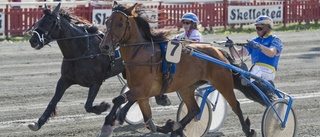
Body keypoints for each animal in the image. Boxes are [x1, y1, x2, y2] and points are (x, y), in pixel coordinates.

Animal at [99, 1, 256, 137]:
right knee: (194, 110)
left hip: (222, 82)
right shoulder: (143, 94)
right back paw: (176, 128)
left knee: (235, 105)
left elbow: (119, 99)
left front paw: (108, 123)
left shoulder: (143, 89)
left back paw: (248, 130)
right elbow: (148, 122)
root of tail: (219, 52)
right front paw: (169, 125)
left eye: (120, 24)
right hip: (186, 87)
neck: (142, 54)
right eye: (107, 22)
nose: (105, 46)